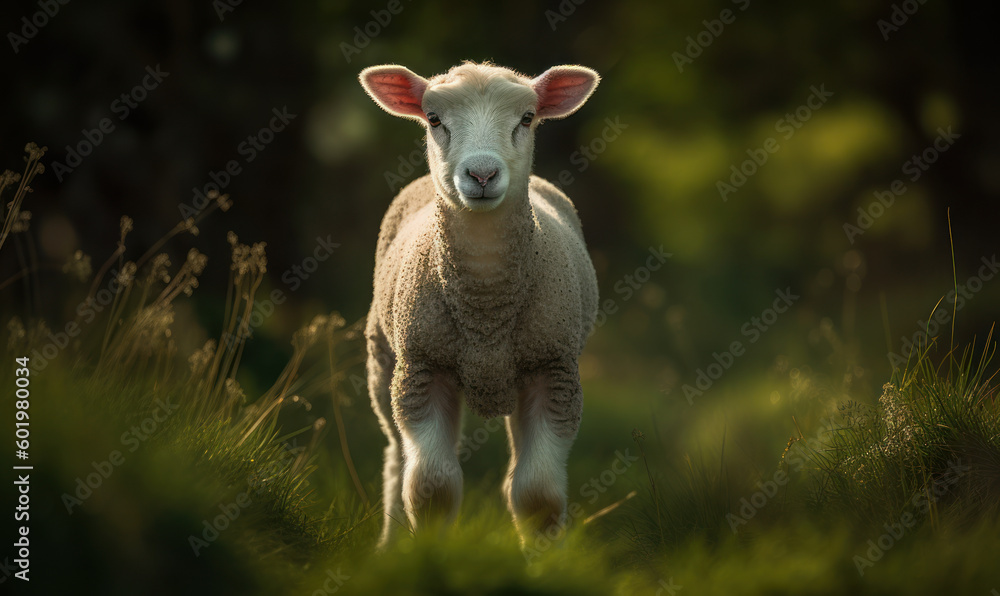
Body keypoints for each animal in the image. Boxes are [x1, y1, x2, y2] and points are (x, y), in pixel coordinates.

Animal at [359, 61, 600, 547]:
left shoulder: (554, 369)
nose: (483, 175)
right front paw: (428, 554)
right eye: (434, 119)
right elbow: (431, 487)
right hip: (384, 360)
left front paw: (544, 559)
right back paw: (390, 545)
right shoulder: (422, 369)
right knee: (396, 458)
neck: (486, 309)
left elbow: (537, 494)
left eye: (527, 118)